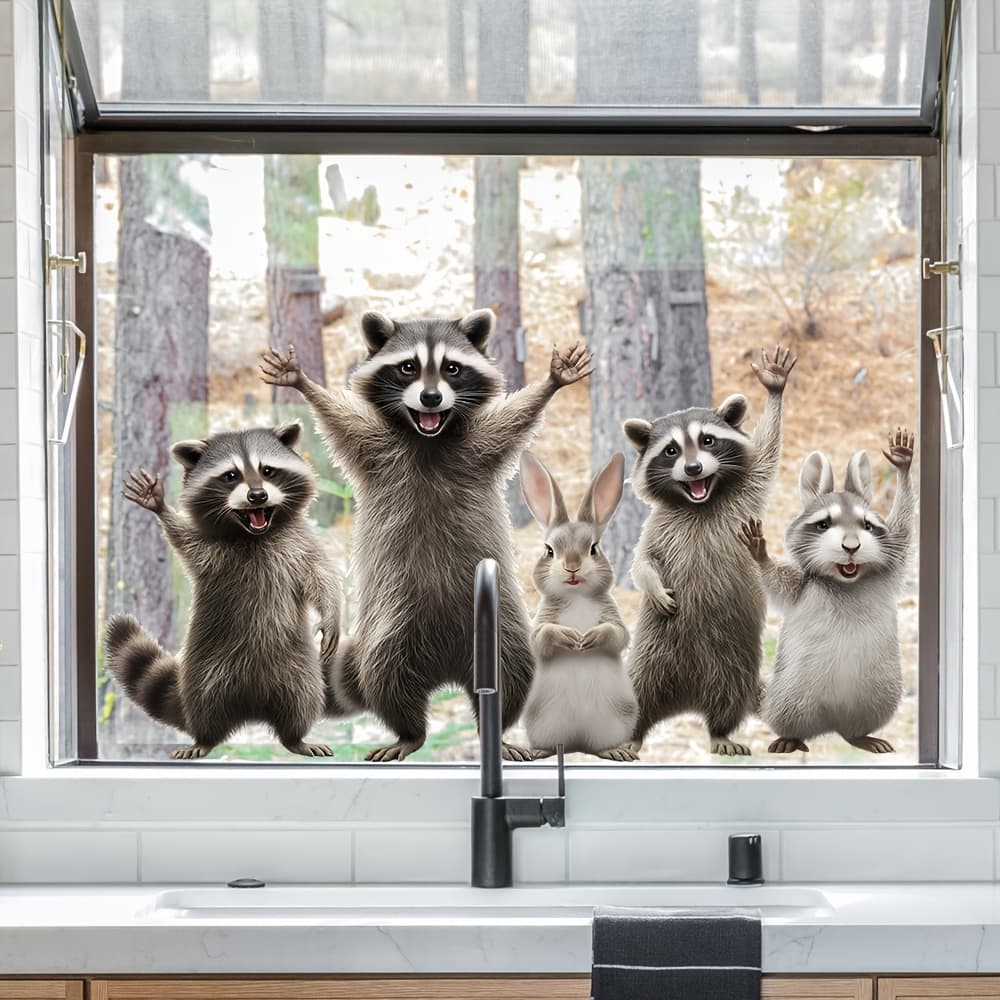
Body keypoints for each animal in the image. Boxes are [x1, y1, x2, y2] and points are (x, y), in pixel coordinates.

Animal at [104, 423, 342, 759]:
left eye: (268, 471)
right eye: (230, 475)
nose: (257, 496)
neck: (255, 533)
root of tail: (253, 707)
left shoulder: (300, 543)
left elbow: (321, 576)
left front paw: (332, 615)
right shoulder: (212, 552)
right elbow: (184, 541)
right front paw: (161, 508)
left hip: (299, 670)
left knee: (303, 699)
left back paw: (295, 737)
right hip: (205, 670)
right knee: (206, 705)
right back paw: (204, 739)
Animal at [260, 310, 592, 761]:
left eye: (452, 368)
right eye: (407, 368)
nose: (431, 398)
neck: (428, 436)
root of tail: (445, 670)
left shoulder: (479, 445)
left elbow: (516, 417)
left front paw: (552, 382)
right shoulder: (375, 446)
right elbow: (338, 418)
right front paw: (302, 382)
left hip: (500, 628)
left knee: (513, 669)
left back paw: (497, 730)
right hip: (393, 621)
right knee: (386, 671)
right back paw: (410, 732)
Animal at [519, 451, 639, 762]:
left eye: (594, 549)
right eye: (549, 550)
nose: (572, 567)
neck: (577, 597)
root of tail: (577, 744)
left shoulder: (613, 615)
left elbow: (618, 634)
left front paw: (591, 637)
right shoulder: (542, 621)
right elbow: (540, 637)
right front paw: (569, 636)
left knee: (600, 746)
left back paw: (614, 752)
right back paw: (537, 751)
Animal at [623, 346, 796, 756]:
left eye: (708, 441)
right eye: (671, 451)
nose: (693, 468)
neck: (700, 501)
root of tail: (687, 700)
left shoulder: (748, 492)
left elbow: (767, 451)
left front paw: (775, 388)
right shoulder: (659, 525)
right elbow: (643, 560)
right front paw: (652, 584)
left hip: (734, 662)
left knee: (727, 697)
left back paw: (720, 731)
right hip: (651, 651)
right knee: (638, 690)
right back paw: (632, 733)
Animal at [740, 427, 915, 755]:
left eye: (867, 525)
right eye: (823, 524)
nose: (851, 546)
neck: (846, 582)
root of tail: (832, 723)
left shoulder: (889, 568)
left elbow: (904, 528)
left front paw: (903, 468)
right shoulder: (801, 588)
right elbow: (775, 582)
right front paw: (762, 556)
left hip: (879, 691)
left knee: (861, 722)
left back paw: (860, 735)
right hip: (792, 692)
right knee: (791, 715)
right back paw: (791, 736)